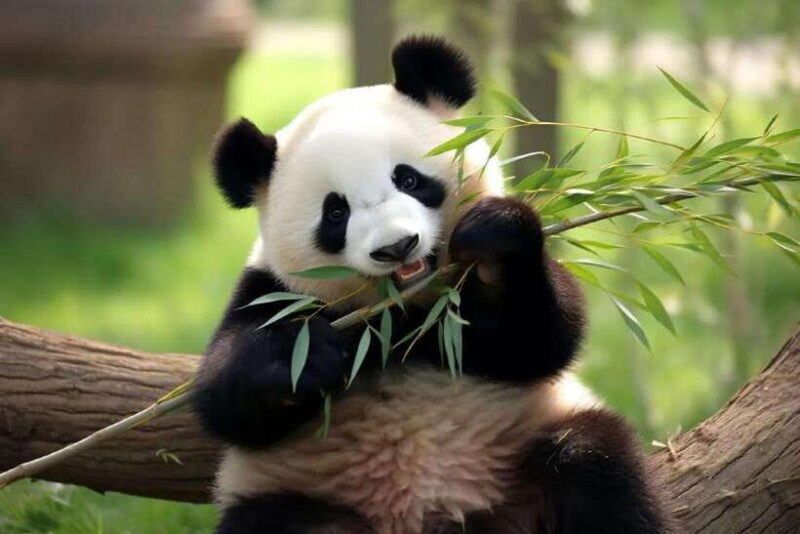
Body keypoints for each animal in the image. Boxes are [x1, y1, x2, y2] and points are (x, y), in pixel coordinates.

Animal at [193, 36, 670, 534]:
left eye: (408, 179)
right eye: (336, 212)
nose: (397, 246)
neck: (401, 316)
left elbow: (539, 339)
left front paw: (494, 245)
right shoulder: (269, 290)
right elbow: (225, 399)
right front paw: (303, 355)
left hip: (528, 445)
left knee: (595, 466)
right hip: (297, 493)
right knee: (273, 521)